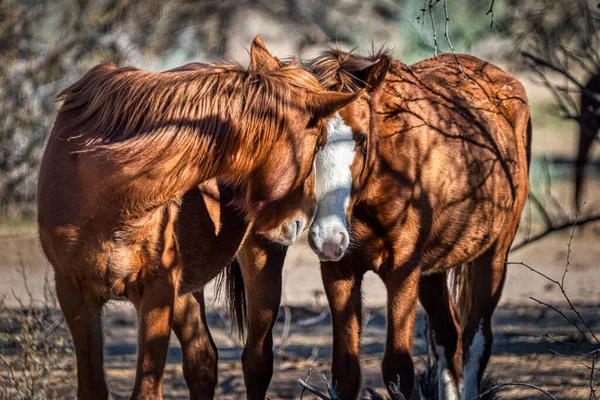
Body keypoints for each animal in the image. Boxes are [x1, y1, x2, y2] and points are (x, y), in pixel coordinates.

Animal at [38, 35, 366, 400]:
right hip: (186, 289)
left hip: (257, 263)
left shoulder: (157, 294)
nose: (299, 220)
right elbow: (93, 388)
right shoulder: (74, 294)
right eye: (320, 142)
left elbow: (147, 391)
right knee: (202, 362)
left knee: (255, 360)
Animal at [227, 50, 532, 400]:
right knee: (447, 334)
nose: (328, 238)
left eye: (361, 139)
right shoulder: (341, 272)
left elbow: (398, 369)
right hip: (433, 271)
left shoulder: (403, 272)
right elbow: (346, 371)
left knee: (475, 341)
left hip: (493, 255)